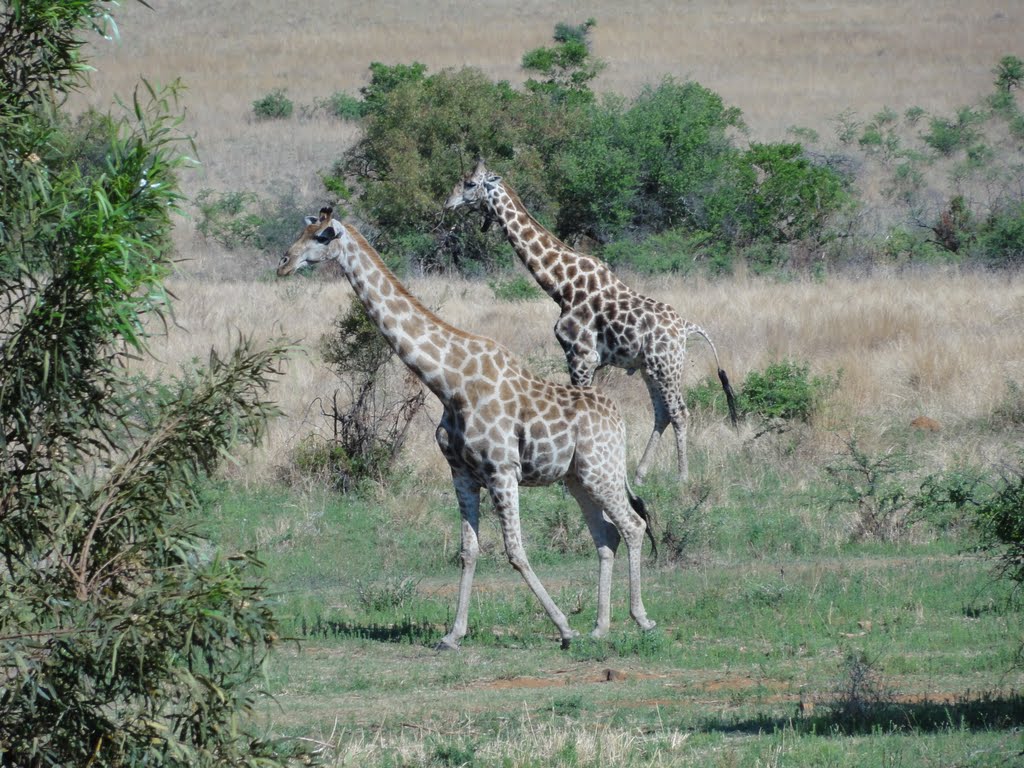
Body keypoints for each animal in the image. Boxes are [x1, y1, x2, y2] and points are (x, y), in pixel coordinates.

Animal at [276, 205, 655, 651]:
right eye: (303, 231)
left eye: (322, 236)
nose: (283, 263)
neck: (448, 382)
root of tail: (619, 419)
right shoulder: (462, 473)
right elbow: (468, 551)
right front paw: (452, 635)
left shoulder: (502, 470)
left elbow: (515, 551)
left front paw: (564, 628)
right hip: (578, 478)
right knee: (606, 535)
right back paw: (600, 627)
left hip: (601, 469)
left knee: (633, 525)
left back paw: (641, 619)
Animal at [444, 160, 741, 487]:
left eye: (470, 183)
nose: (447, 203)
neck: (561, 285)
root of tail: (686, 327)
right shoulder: (589, 360)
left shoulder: (581, 356)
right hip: (649, 368)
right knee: (662, 413)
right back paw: (639, 474)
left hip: (667, 365)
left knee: (679, 412)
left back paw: (682, 477)